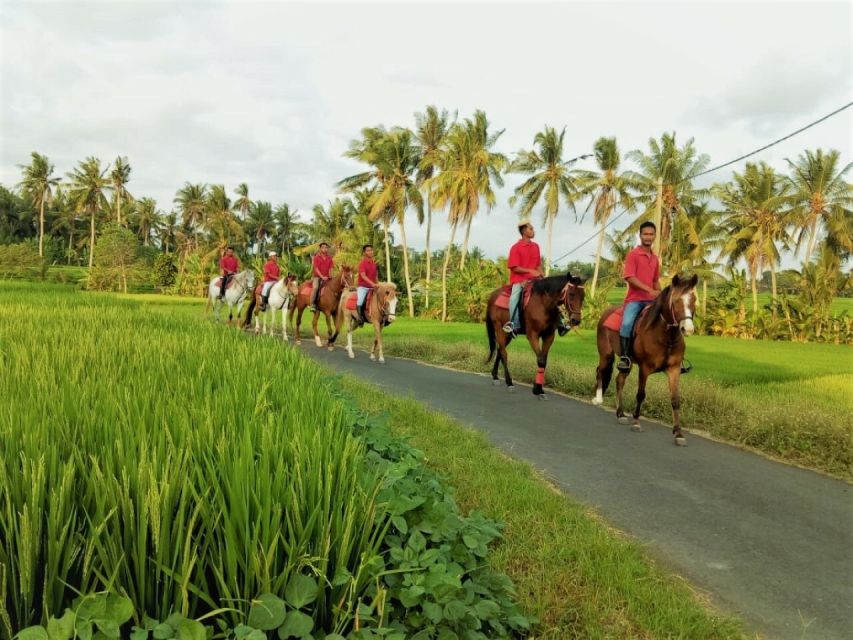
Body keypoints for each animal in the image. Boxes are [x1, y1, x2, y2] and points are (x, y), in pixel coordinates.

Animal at [592, 274, 700, 444]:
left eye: (694, 299)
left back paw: (620, 414)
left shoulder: (674, 370)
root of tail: (606, 313)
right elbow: (641, 394)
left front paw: (678, 433)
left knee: (619, 380)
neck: (665, 336)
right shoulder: (644, 368)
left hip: (627, 362)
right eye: (676, 300)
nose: (687, 329)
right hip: (606, 354)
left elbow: (675, 399)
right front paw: (636, 423)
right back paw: (598, 399)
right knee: (601, 372)